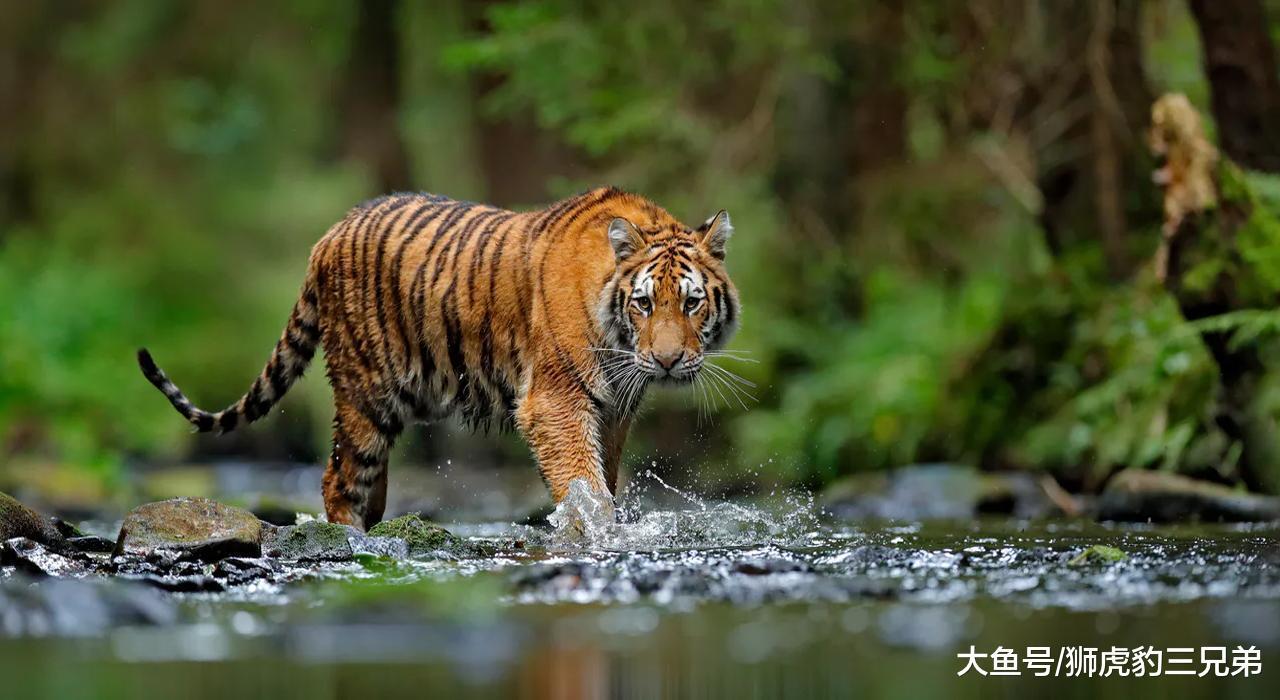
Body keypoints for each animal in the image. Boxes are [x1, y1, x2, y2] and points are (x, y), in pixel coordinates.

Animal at [137, 187, 740, 529]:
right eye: (644, 303)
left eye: (691, 302)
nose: (667, 361)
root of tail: (329, 235)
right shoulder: (556, 402)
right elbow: (584, 486)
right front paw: (595, 531)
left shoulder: (613, 410)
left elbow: (604, 479)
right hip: (365, 394)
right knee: (338, 478)